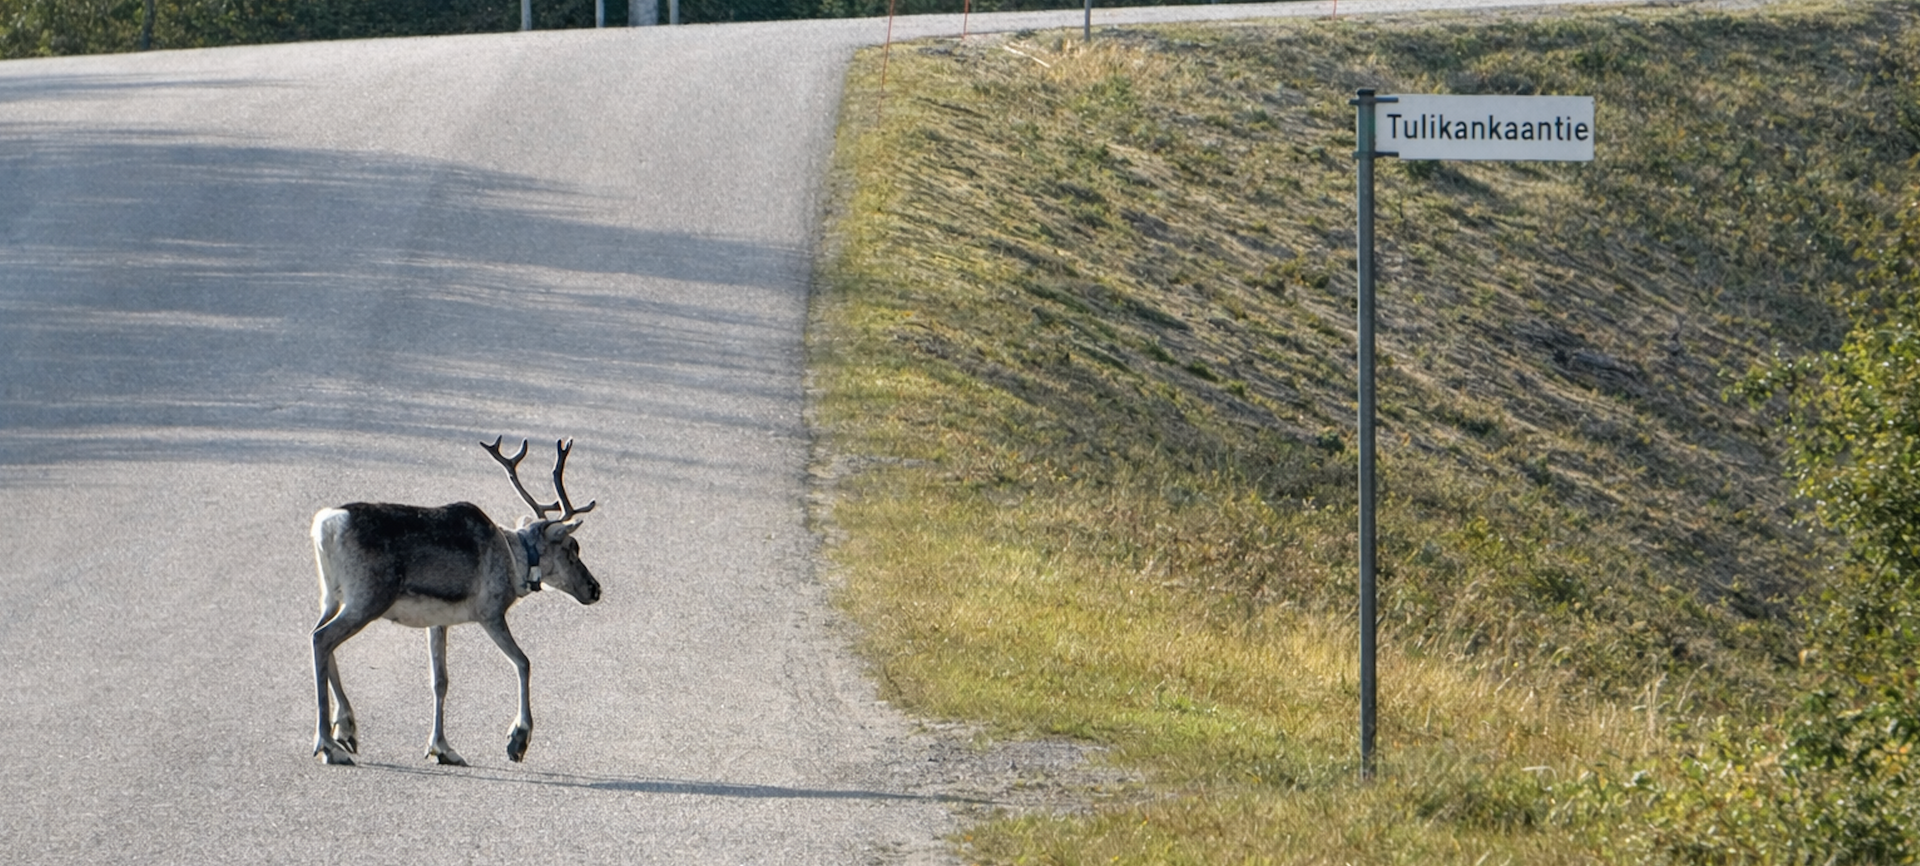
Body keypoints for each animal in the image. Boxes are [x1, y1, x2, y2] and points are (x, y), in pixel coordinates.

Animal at [308, 437, 602, 767]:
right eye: (572, 548)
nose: (595, 589)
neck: (514, 561)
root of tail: (327, 525)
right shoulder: (490, 613)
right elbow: (523, 662)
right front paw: (518, 739)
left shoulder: (438, 621)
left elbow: (440, 680)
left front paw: (442, 747)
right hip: (367, 598)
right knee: (322, 639)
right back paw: (327, 743)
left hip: (332, 597)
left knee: (319, 638)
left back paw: (345, 728)